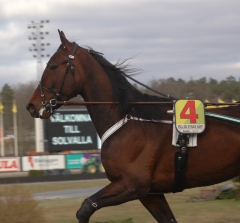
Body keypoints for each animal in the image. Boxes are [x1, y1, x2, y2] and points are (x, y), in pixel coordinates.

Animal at [26, 30, 240, 223]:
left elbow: (85, 208)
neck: (128, 121)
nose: (32, 105)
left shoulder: (132, 185)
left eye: (53, 66)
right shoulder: (150, 194)